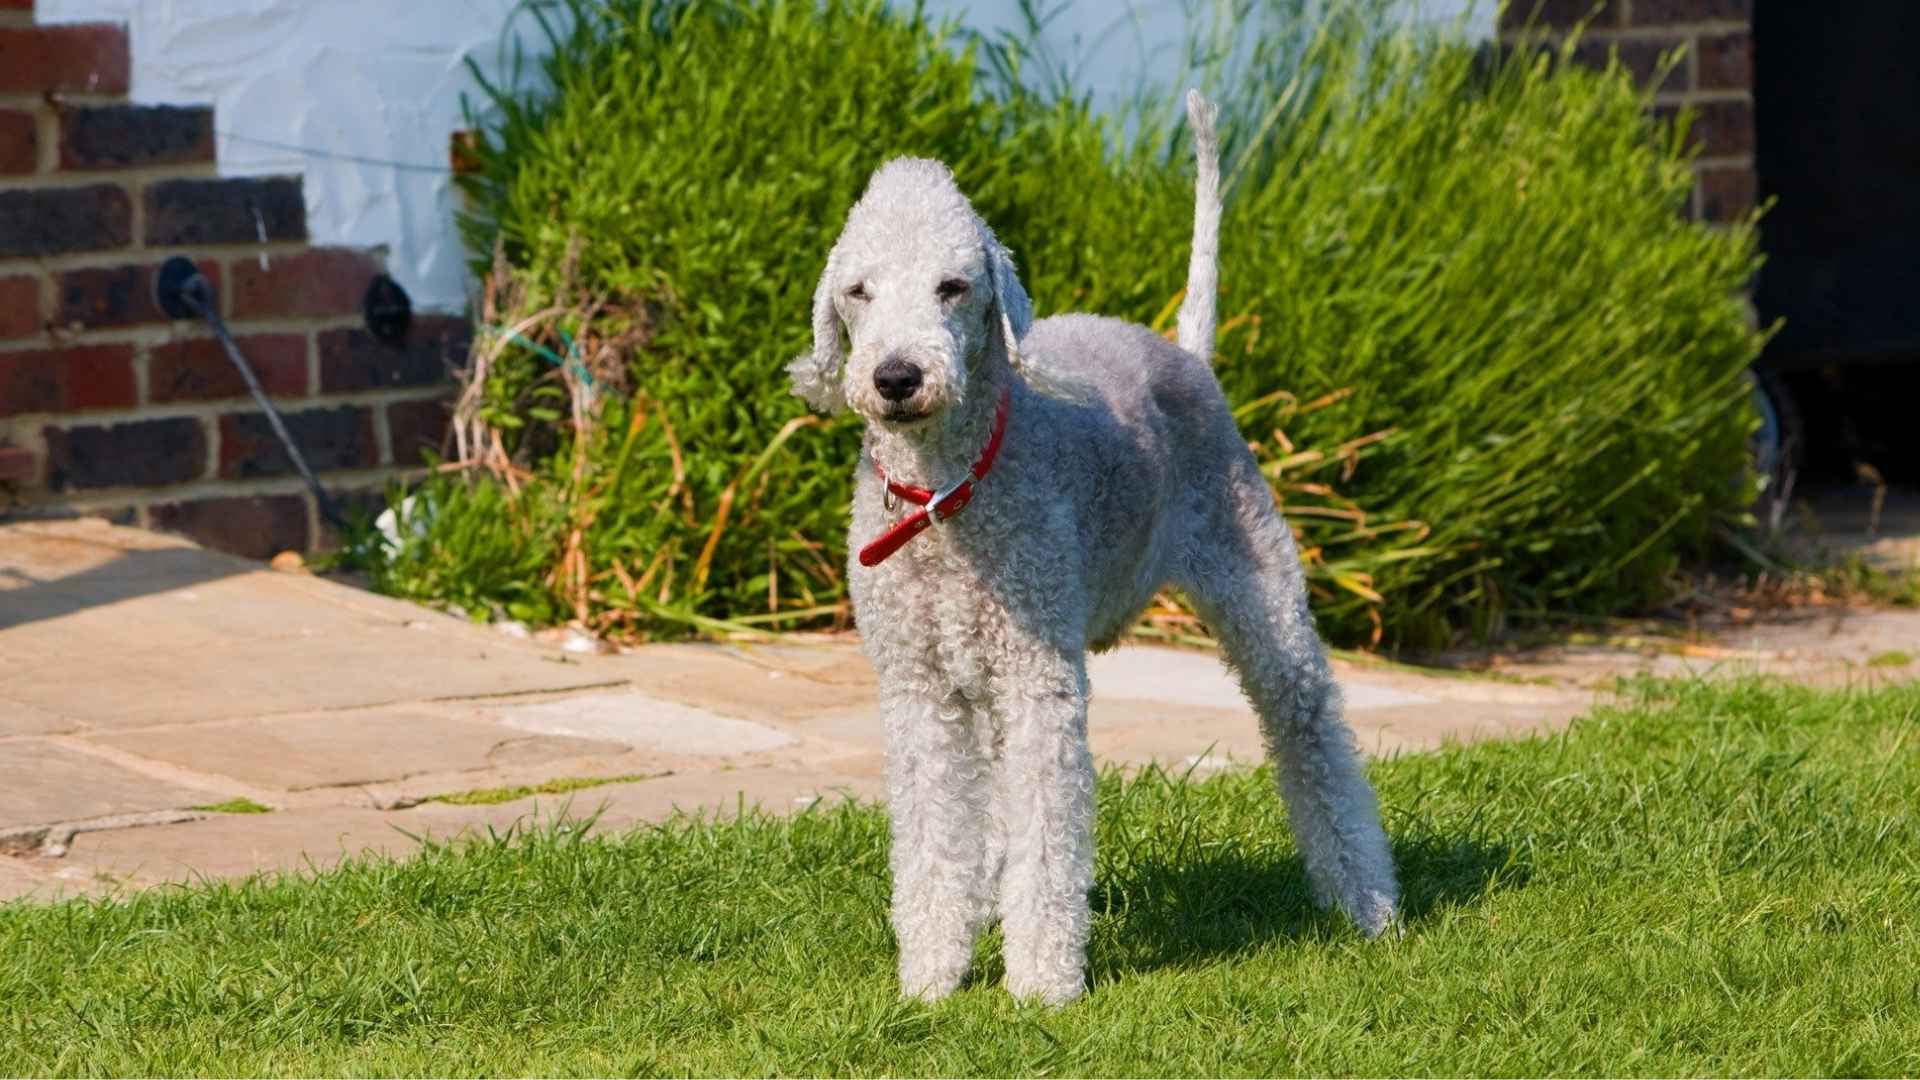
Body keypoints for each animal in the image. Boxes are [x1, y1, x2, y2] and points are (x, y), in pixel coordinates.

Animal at [787, 90, 1405, 999]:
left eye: (953, 287)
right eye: (858, 292)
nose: (897, 377)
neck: (947, 494)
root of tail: (1183, 351)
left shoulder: (1040, 676)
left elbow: (1049, 832)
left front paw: (1041, 985)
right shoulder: (919, 686)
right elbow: (934, 834)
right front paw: (930, 979)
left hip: (1258, 586)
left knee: (1310, 731)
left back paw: (1367, 903)